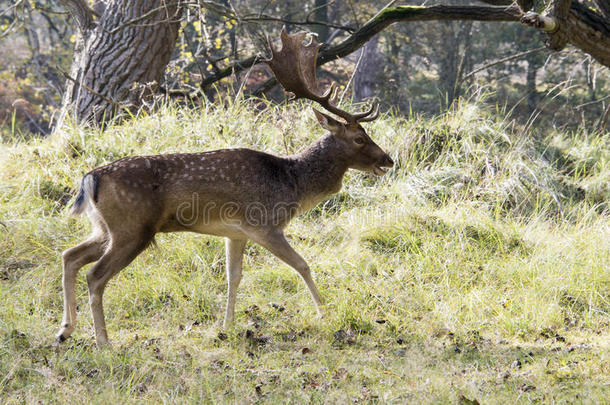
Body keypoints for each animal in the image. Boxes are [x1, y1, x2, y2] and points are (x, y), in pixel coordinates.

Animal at [55, 28, 390, 344]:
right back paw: (102, 340)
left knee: (70, 256)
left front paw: (226, 326)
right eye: (359, 138)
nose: (388, 160)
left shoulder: (235, 232)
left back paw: (65, 330)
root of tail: (90, 178)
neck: (292, 183)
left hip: (105, 228)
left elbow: (234, 276)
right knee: (95, 275)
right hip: (132, 229)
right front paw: (325, 313)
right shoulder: (264, 225)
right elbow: (302, 265)